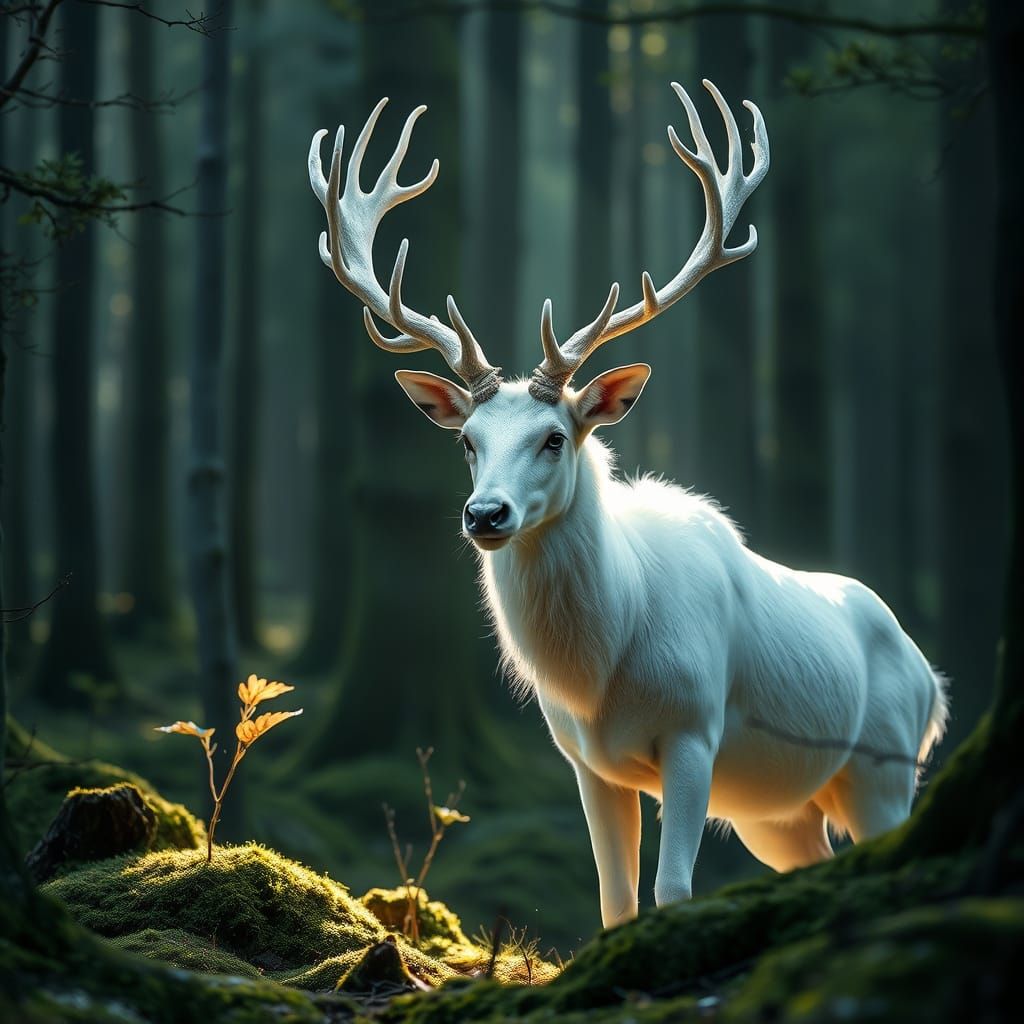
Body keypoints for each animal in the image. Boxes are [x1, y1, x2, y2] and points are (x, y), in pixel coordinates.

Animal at [308, 80, 949, 929]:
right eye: (468, 442)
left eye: (554, 437)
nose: (486, 516)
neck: (605, 665)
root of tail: (932, 681)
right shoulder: (586, 762)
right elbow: (614, 900)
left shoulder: (695, 729)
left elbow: (671, 892)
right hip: (777, 812)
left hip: (884, 768)